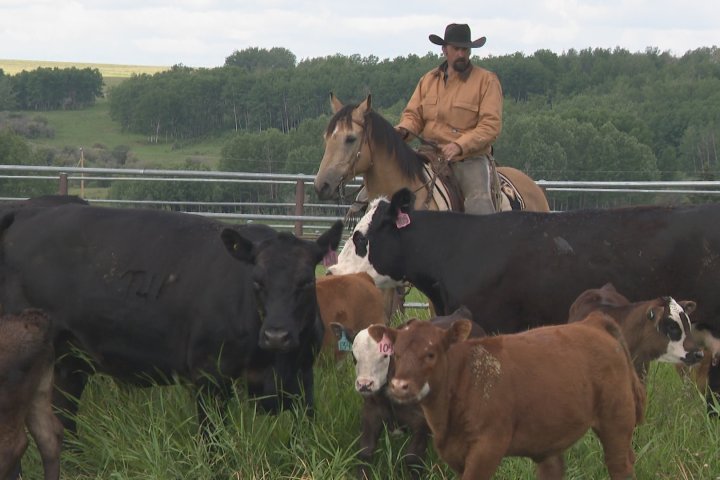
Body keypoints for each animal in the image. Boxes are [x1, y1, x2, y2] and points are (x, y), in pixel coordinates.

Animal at [0, 202, 344, 432]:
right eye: (257, 281)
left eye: (306, 282)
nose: (277, 336)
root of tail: (24, 214)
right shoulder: (209, 376)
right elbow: (214, 440)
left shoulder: (302, 375)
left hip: (69, 361)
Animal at [372, 316, 648, 480]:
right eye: (395, 354)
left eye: (430, 354)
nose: (399, 386)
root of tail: (593, 323)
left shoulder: (487, 447)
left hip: (616, 421)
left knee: (619, 464)